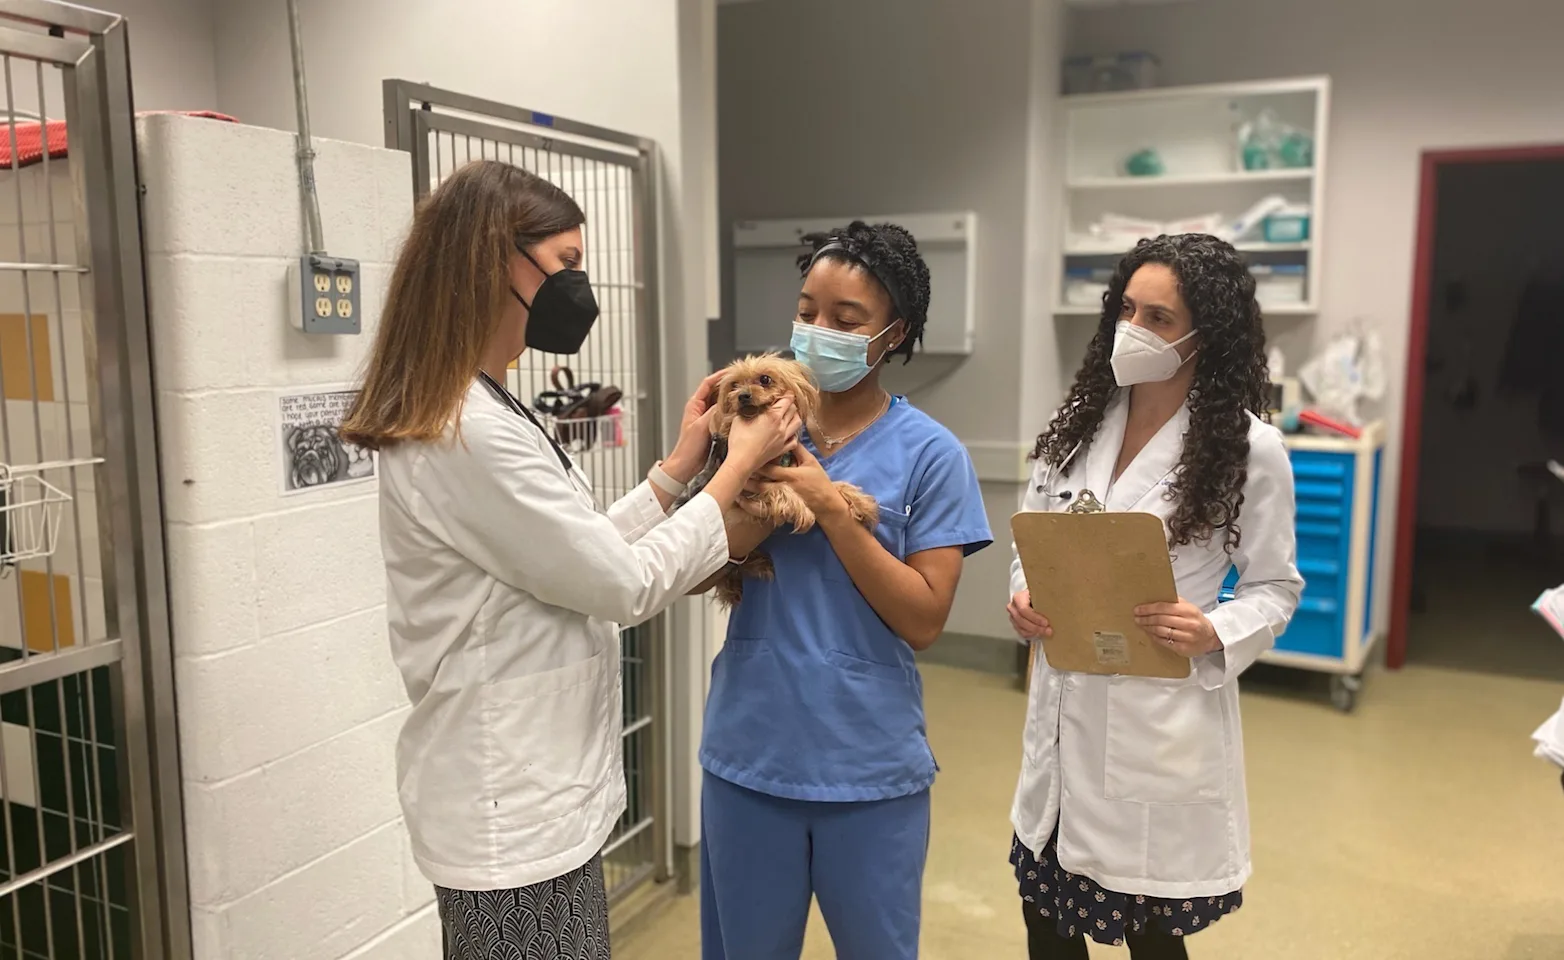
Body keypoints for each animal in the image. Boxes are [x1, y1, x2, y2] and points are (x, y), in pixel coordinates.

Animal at [681, 353, 888, 609]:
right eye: (734, 385)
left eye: (765, 379)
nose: (743, 395)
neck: (772, 457)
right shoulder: (744, 489)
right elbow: (779, 487)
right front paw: (801, 508)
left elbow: (831, 486)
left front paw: (860, 501)